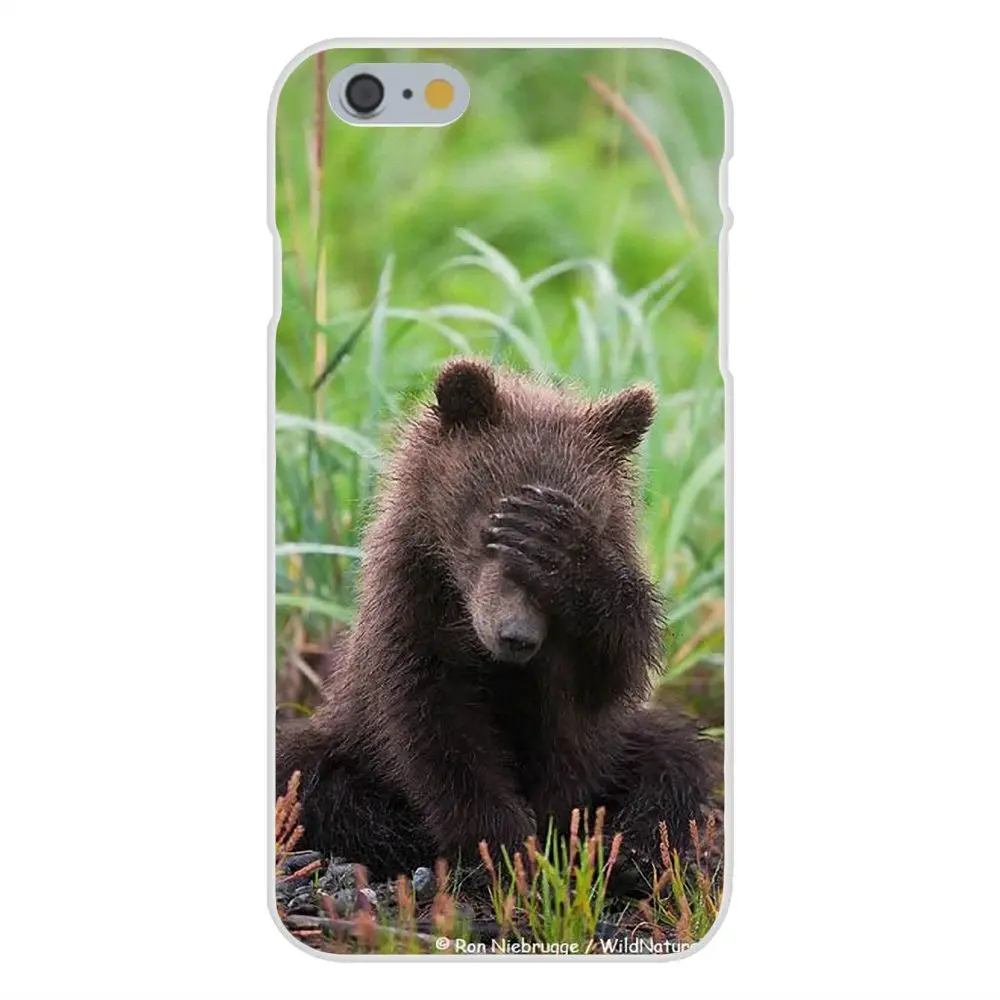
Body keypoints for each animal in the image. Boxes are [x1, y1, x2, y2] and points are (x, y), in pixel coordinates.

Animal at [276, 357, 714, 882]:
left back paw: (630, 851)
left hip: (630, 745)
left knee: (675, 758)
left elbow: (600, 684)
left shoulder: (574, 657)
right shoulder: (412, 609)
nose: (516, 636)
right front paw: (503, 845)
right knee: (307, 776)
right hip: (347, 738)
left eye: (582, 516)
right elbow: (436, 728)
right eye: (489, 522)